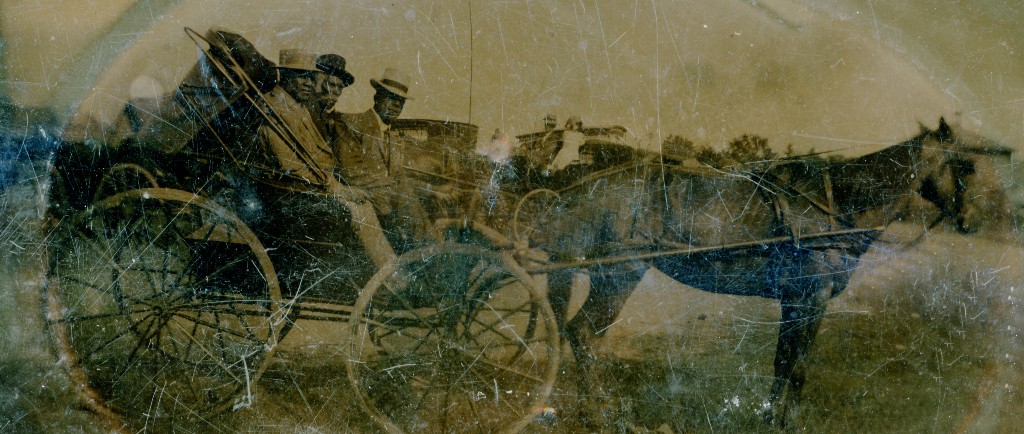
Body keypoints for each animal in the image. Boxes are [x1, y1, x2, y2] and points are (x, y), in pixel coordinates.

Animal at [532, 118, 1011, 427]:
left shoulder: (793, 302)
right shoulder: (811, 298)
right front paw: (788, 421)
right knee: (584, 333)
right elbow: (797, 368)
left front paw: (770, 418)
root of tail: (584, 184)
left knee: (583, 335)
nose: (973, 221)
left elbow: (782, 364)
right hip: (620, 274)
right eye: (966, 165)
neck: (836, 205)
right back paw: (598, 410)